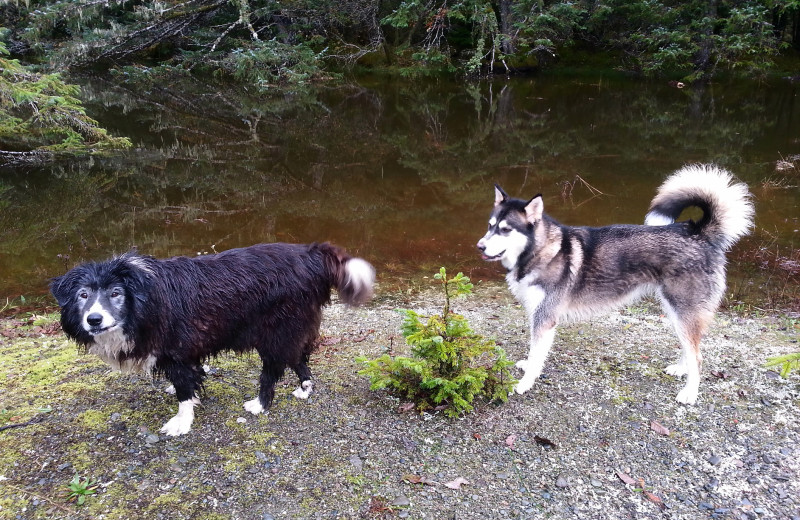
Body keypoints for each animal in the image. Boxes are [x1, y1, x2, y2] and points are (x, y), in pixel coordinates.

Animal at [51, 243, 376, 434]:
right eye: (83, 295)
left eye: (116, 293)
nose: (94, 320)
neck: (143, 299)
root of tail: (309, 254)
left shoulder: (177, 350)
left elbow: (185, 390)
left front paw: (181, 422)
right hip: (291, 329)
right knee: (298, 357)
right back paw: (304, 389)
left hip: (275, 330)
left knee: (273, 369)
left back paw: (260, 404)